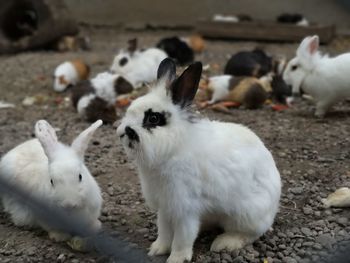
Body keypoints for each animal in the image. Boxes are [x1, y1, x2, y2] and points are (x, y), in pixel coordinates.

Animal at [117, 58, 282, 263]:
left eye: (153, 118)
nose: (124, 132)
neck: (174, 148)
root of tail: (273, 207)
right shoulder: (165, 207)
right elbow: (164, 231)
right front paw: (157, 249)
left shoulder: (185, 208)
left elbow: (183, 237)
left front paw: (176, 258)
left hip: (246, 215)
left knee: (250, 233)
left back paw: (224, 243)